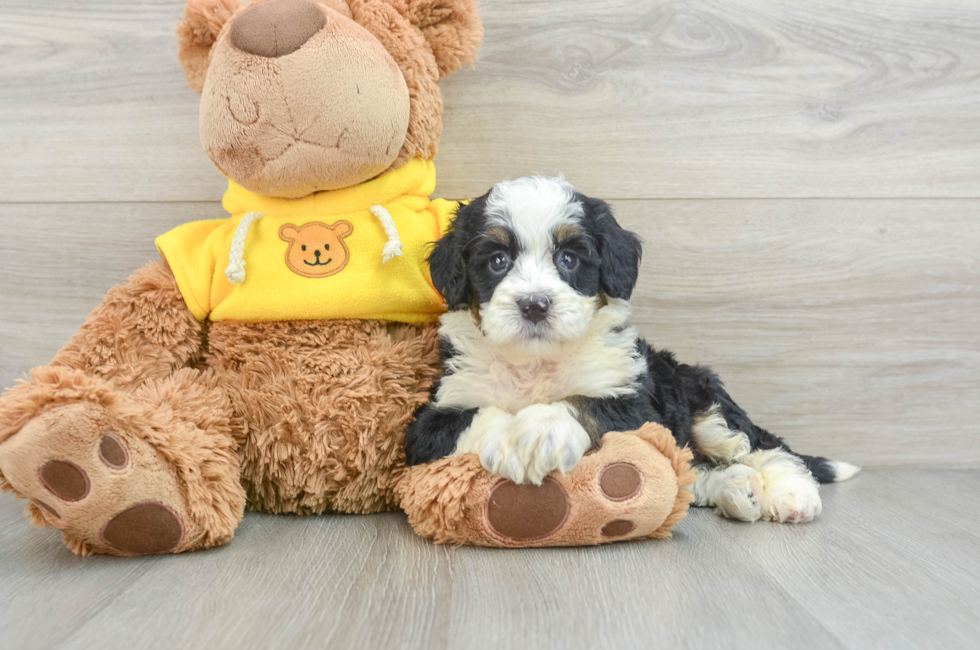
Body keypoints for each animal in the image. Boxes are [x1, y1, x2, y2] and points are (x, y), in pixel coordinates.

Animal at [404, 176, 856, 520]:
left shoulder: (638, 406)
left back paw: (788, 492)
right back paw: (734, 488)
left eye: (569, 258)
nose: (534, 304)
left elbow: (583, 402)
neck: (536, 363)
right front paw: (511, 439)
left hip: (702, 396)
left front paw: (541, 430)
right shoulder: (431, 421)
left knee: (759, 444)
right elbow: (475, 416)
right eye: (497, 261)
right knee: (692, 474)